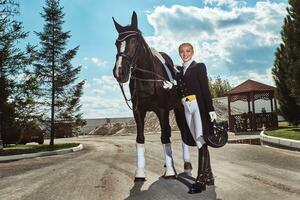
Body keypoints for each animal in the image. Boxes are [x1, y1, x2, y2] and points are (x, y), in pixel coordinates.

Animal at [111, 11, 191, 181]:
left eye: (134, 41)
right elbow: (140, 138)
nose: (119, 71)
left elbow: (164, 137)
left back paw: (186, 164)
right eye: (116, 43)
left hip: (179, 109)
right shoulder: (138, 111)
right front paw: (140, 172)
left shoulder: (162, 110)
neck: (148, 78)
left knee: (182, 132)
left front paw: (170, 172)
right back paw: (169, 163)